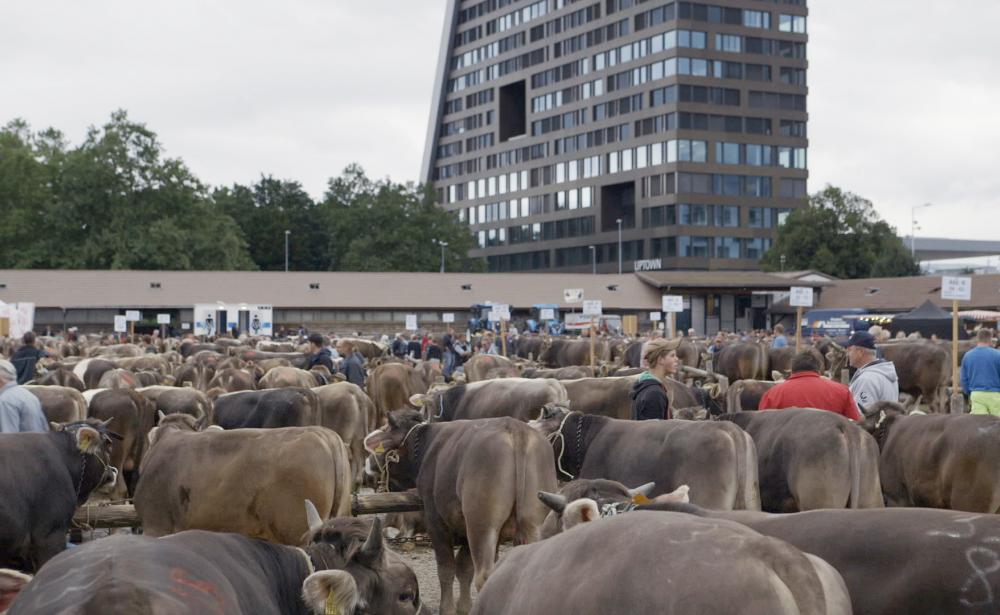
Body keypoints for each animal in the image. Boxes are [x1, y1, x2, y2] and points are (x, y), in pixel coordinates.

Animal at [365, 409, 557, 615]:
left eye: (387, 431)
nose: (367, 464)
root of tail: (515, 429)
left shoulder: (436, 520)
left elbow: (447, 568)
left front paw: (447, 608)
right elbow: (465, 568)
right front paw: (464, 607)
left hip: (481, 525)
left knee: (484, 574)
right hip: (532, 523)